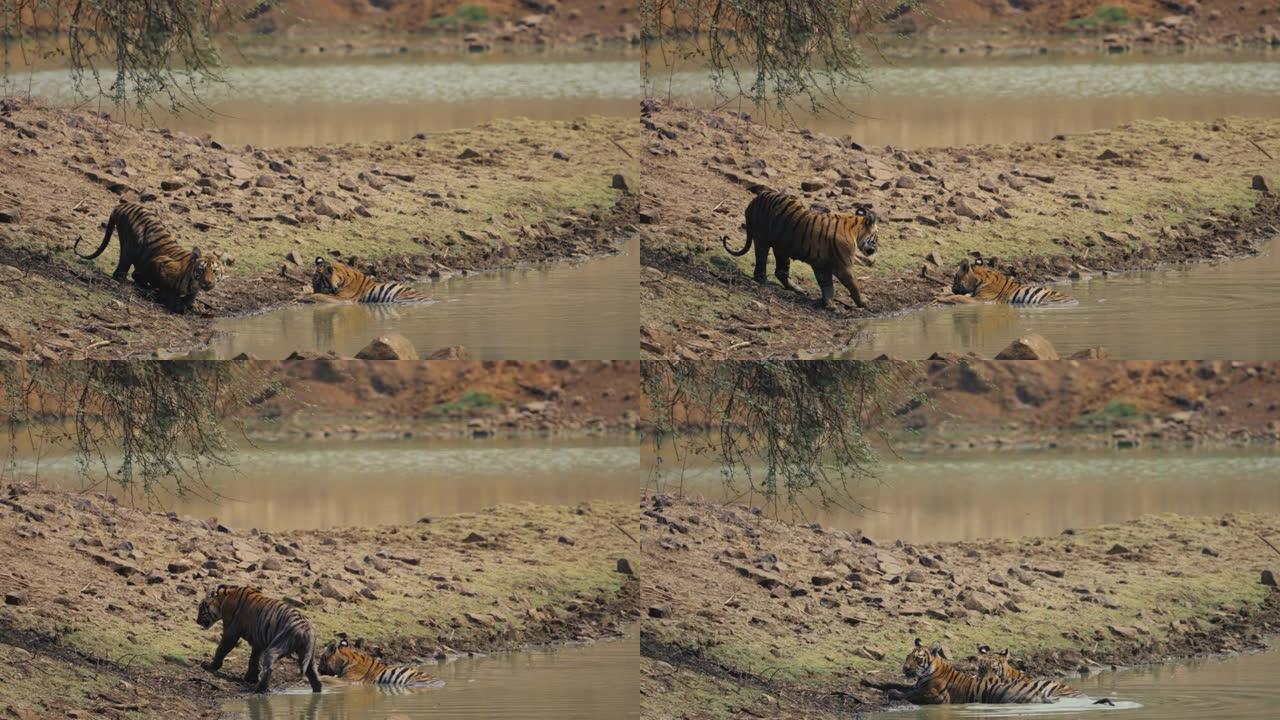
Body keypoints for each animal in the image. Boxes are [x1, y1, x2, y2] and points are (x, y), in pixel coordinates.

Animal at [197, 584, 325, 691]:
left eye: (201, 607)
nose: (197, 621)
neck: (223, 598)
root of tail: (306, 628)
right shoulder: (258, 642)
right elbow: (254, 659)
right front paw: (250, 678)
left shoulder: (231, 632)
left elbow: (221, 650)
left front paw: (210, 666)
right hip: (308, 655)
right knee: (314, 675)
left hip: (276, 647)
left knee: (269, 668)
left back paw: (258, 689)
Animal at [721, 188, 880, 308]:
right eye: (876, 237)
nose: (876, 248)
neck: (855, 232)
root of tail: (753, 201)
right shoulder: (843, 266)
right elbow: (853, 285)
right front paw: (863, 303)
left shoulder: (821, 266)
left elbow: (827, 285)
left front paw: (829, 304)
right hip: (762, 239)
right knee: (762, 260)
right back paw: (763, 280)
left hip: (782, 248)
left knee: (780, 271)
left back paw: (797, 289)